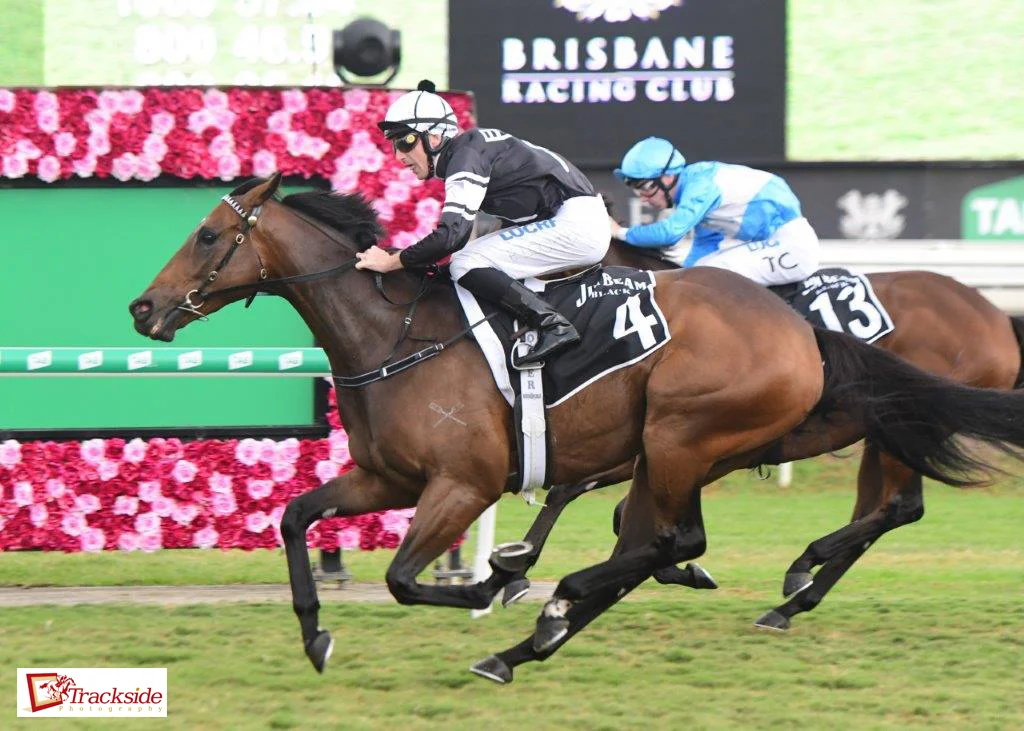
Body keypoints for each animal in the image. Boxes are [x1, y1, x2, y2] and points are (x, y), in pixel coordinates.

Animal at [129, 174, 1024, 683]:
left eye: (207, 235)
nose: (143, 306)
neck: (396, 337)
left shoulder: (464, 482)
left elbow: (409, 575)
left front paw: (498, 577)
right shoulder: (387, 476)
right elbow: (294, 516)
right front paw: (316, 635)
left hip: (690, 434)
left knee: (685, 537)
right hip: (702, 444)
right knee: (669, 539)